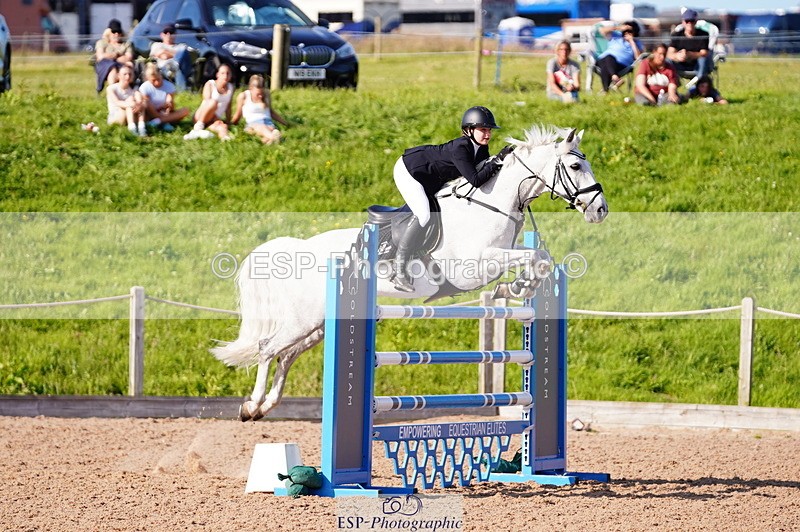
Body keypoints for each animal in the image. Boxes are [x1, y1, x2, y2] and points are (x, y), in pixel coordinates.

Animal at [211, 125, 608, 421]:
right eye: (575, 167)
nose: (600, 210)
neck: (492, 203)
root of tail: (299, 249)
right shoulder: (477, 265)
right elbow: (532, 258)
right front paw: (515, 286)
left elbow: (539, 257)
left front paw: (518, 287)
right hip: (303, 319)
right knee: (267, 349)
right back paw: (251, 406)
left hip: (319, 323)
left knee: (287, 355)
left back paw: (266, 406)